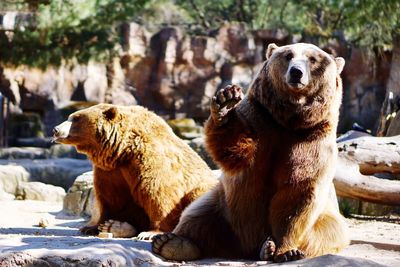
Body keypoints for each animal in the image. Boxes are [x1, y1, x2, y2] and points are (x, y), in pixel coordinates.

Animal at [53, 104, 219, 239]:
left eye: (76, 118)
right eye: (70, 117)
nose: (56, 129)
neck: (123, 149)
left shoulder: (150, 158)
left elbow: (158, 194)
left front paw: (151, 233)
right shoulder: (110, 170)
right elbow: (109, 197)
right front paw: (93, 226)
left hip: (202, 189)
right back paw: (117, 227)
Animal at [153, 43, 350, 262]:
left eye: (313, 59)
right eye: (288, 55)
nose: (296, 72)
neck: (288, 121)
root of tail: (243, 248)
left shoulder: (311, 139)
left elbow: (298, 192)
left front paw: (285, 250)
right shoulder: (260, 119)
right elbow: (237, 153)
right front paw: (226, 102)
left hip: (328, 220)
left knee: (327, 232)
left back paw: (267, 248)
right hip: (222, 206)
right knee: (197, 214)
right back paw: (172, 243)